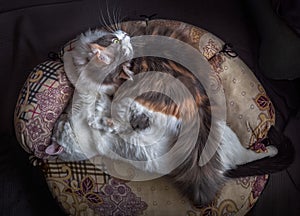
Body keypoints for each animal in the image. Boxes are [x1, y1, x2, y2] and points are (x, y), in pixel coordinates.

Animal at [46, 24, 292, 207]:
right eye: (115, 41)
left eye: (122, 42)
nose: (124, 34)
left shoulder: (100, 94)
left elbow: (81, 80)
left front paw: (66, 60)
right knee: (255, 154)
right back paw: (269, 147)